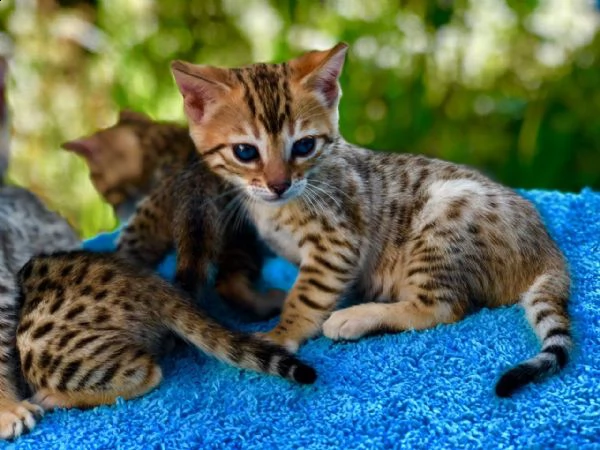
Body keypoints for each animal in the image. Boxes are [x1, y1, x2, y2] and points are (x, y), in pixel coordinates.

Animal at [170, 43, 572, 398]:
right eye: (245, 152)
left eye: (304, 146)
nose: (279, 184)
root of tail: (547, 250)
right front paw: (266, 305)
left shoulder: (336, 242)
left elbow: (307, 295)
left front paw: (280, 334)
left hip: (446, 215)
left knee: (442, 308)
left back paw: (356, 317)